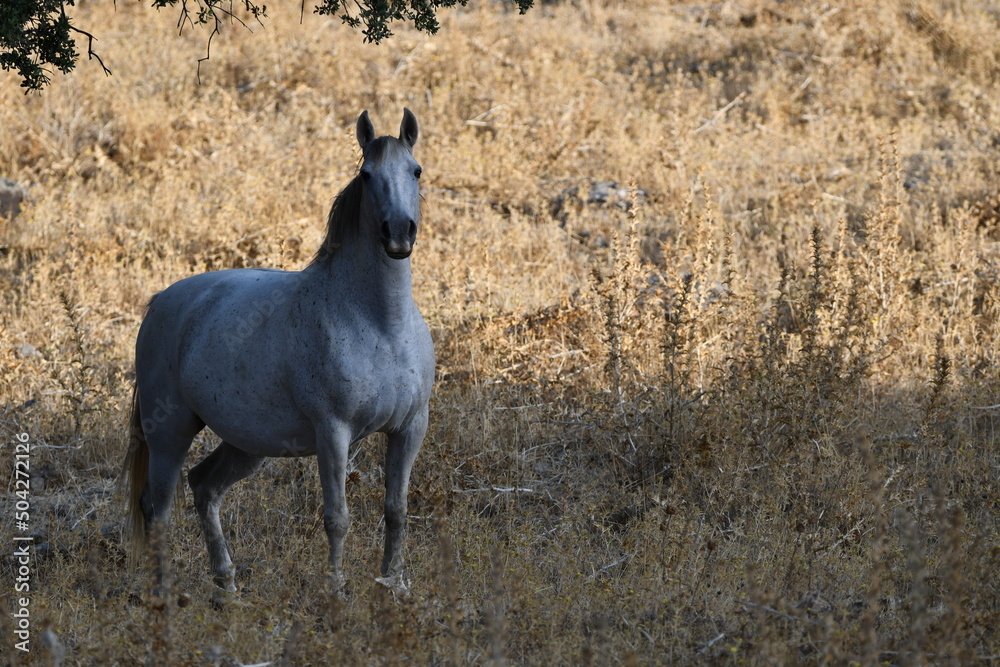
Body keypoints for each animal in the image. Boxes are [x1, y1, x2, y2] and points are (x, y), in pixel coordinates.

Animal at [121, 108, 435, 596]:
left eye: (415, 171)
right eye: (367, 175)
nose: (399, 234)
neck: (382, 326)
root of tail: (161, 303)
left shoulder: (409, 428)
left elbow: (396, 511)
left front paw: (393, 588)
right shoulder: (333, 432)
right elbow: (337, 518)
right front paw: (336, 593)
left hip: (246, 444)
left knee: (204, 487)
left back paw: (227, 586)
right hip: (170, 432)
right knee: (158, 509)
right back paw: (166, 596)